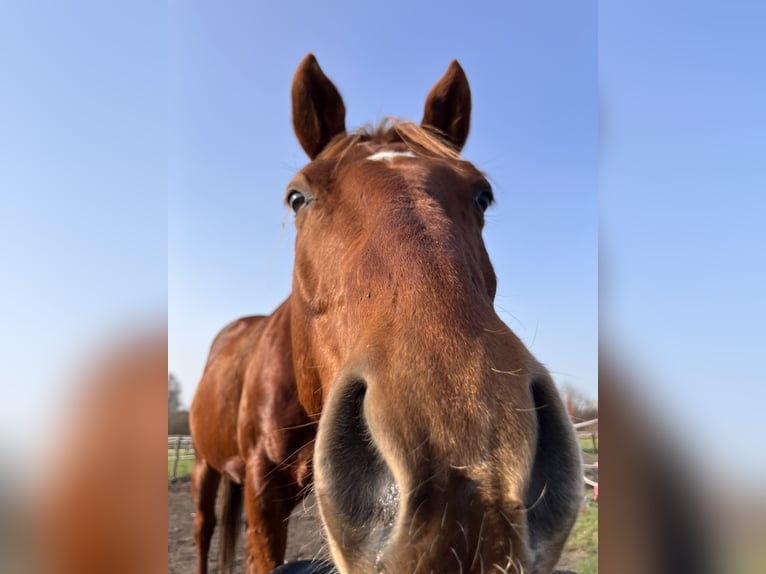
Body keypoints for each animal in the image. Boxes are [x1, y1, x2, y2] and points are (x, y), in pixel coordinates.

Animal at [190, 53, 582, 574]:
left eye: (482, 195)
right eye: (297, 197)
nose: (465, 468)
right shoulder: (261, 495)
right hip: (203, 466)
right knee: (203, 529)